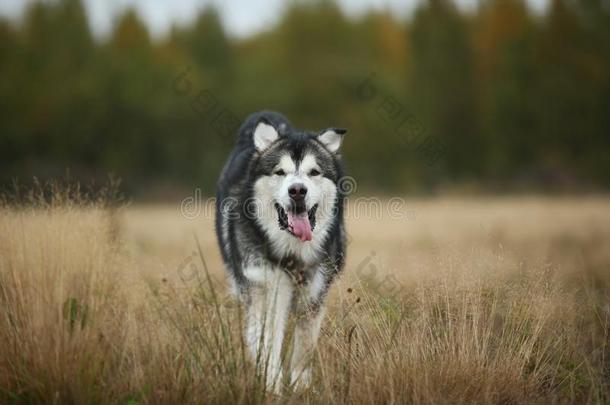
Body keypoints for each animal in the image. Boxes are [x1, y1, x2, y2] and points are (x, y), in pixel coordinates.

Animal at [215, 111, 346, 392]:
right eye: (280, 172)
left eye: (314, 172)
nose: (297, 190)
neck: (292, 253)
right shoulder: (268, 288)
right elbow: (267, 344)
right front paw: (271, 388)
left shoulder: (314, 296)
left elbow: (304, 349)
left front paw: (299, 388)